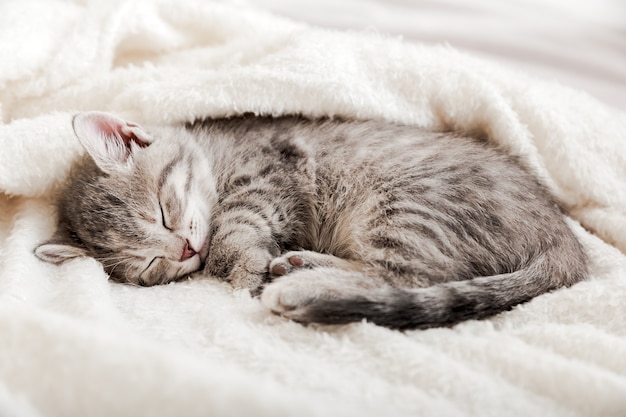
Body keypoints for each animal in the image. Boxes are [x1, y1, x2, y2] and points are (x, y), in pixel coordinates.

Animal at [35, 112, 584, 330]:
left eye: (164, 212)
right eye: (150, 267)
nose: (185, 251)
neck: (217, 152)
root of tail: (564, 239)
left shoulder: (268, 176)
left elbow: (234, 232)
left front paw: (238, 268)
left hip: (406, 205)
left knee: (411, 278)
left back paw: (302, 284)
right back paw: (301, 267)